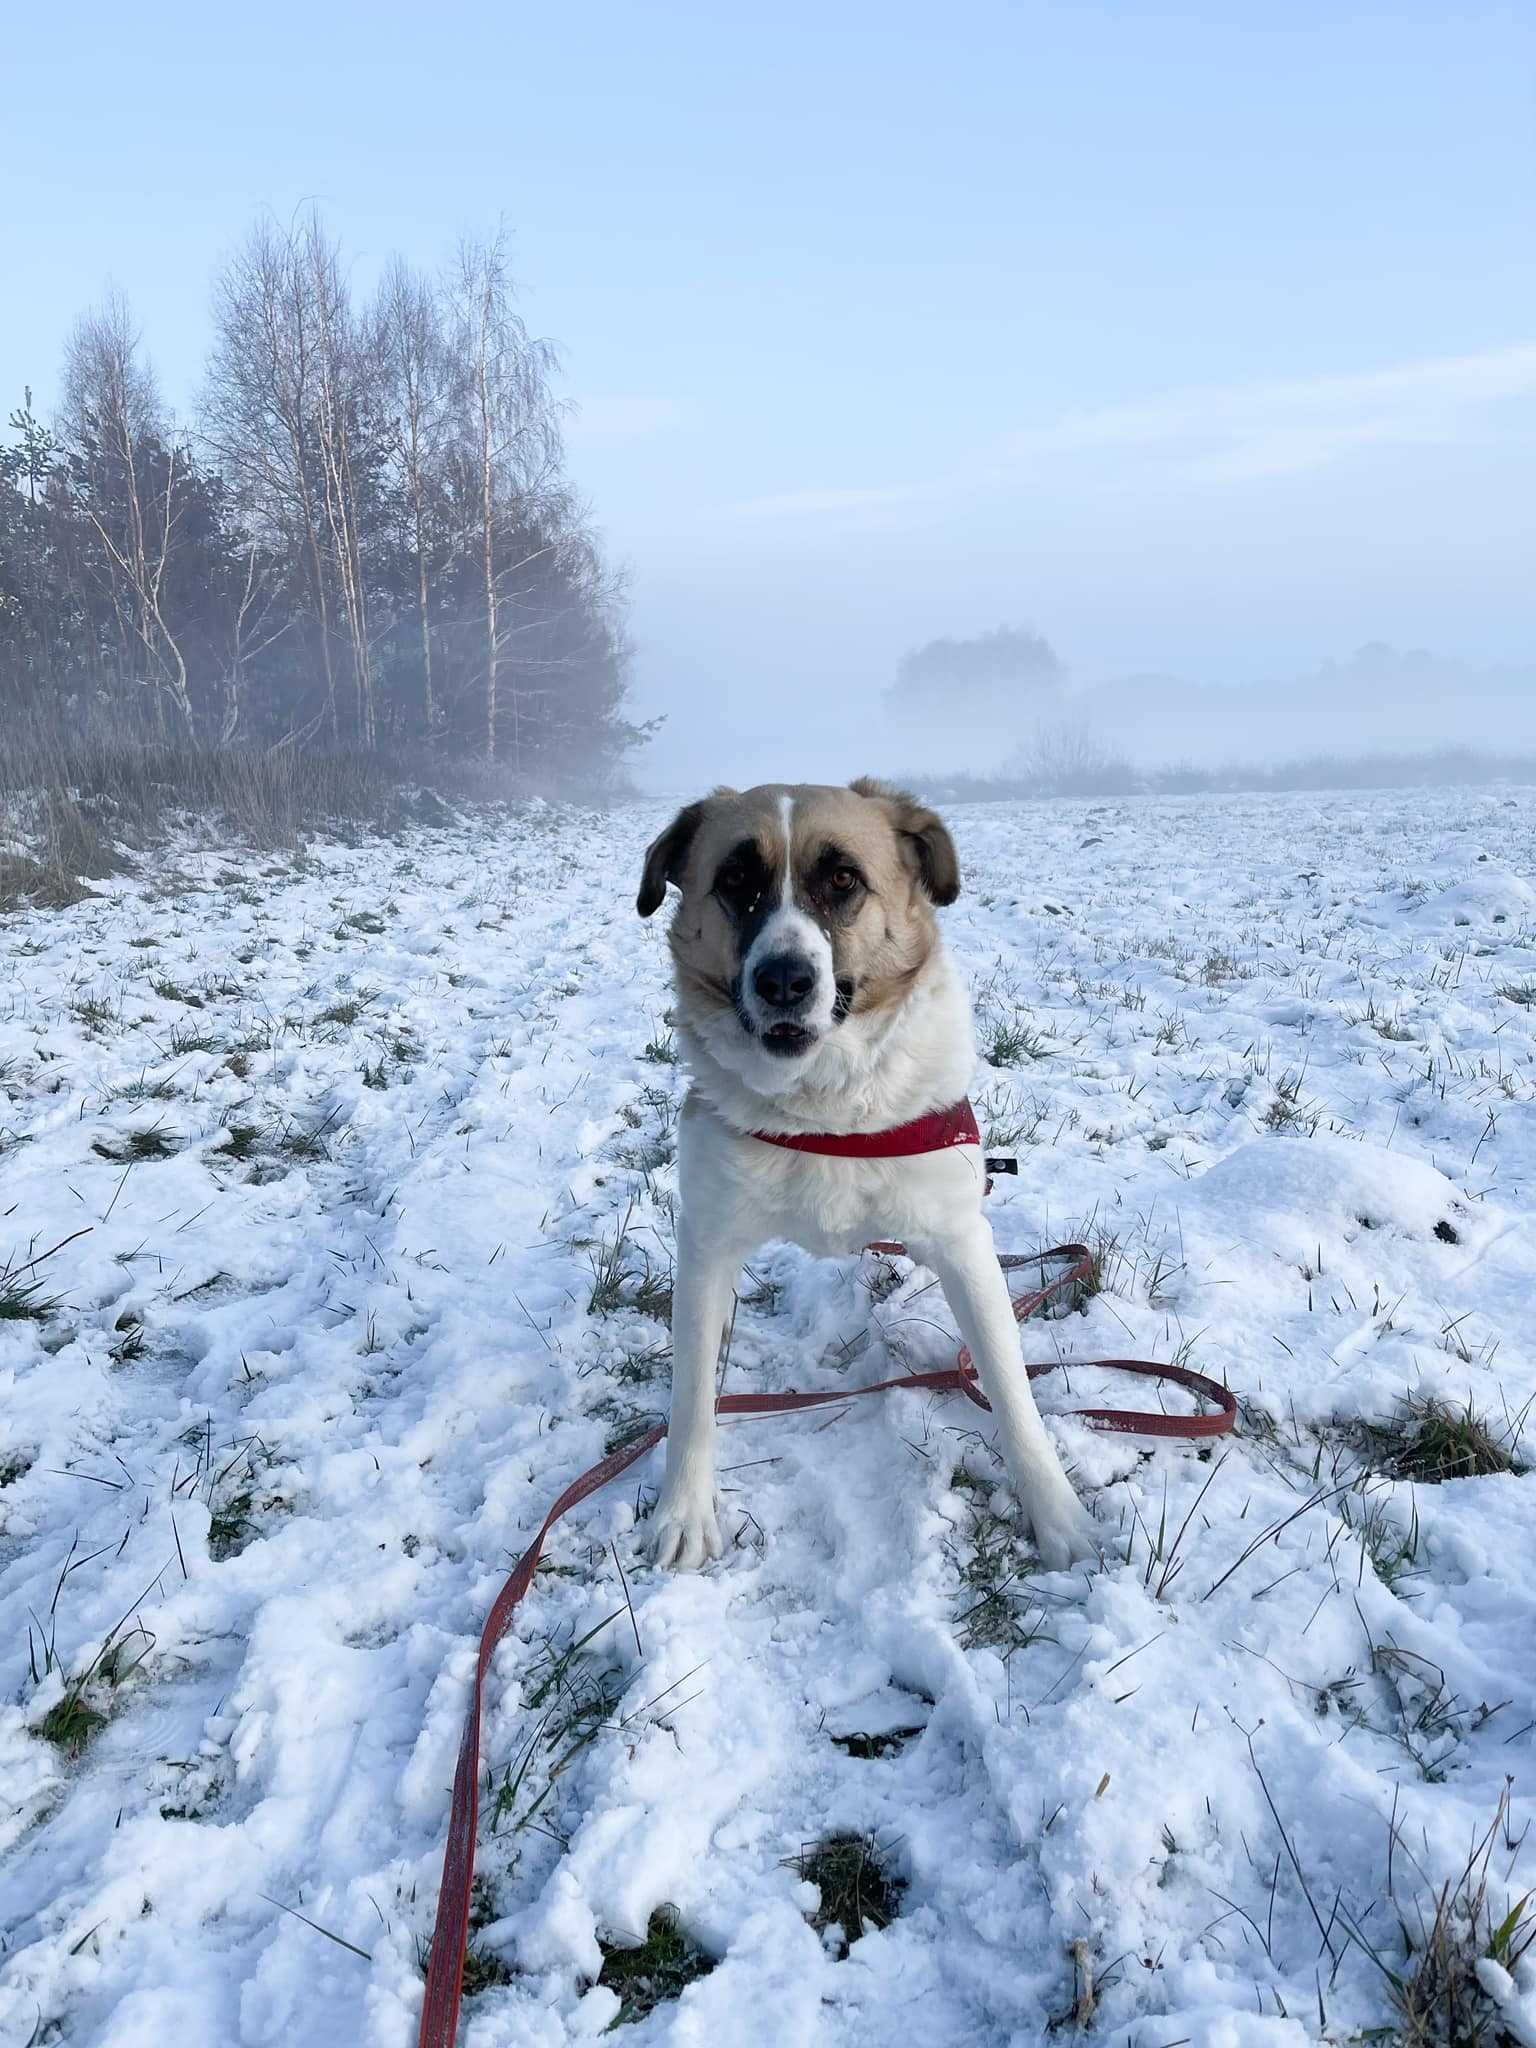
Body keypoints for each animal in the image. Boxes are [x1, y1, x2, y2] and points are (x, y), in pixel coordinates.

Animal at [638, 774, 1105, 1572]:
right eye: (734, 880)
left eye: (842, 881)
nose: (784, 980)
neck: (823, 1114)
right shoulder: (706, 1245)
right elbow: (693, 1394)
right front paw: (685, 1513)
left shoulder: (962, 1242)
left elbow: (1010, 1388)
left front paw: (1058, 1516)